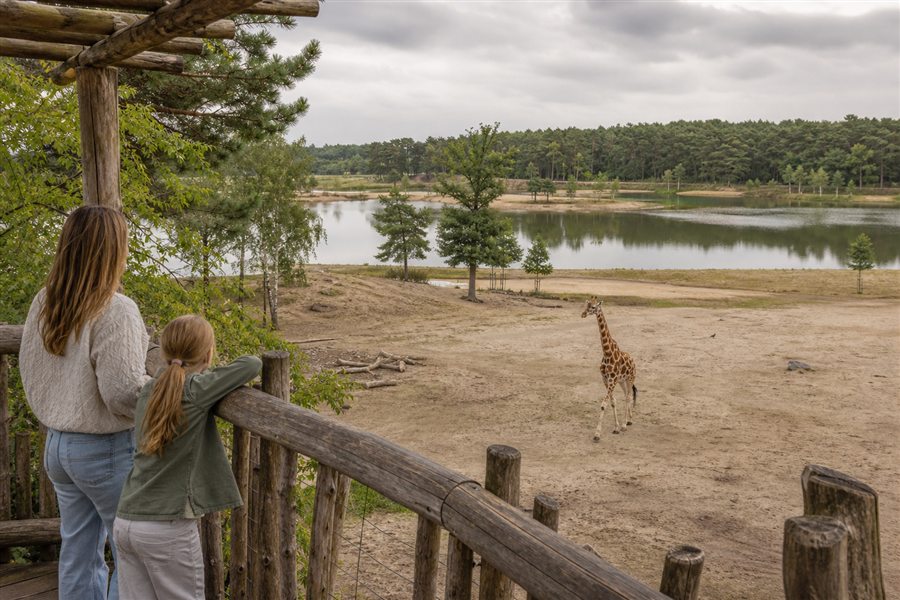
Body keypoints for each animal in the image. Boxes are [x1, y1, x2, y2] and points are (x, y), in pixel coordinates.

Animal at [581, 296, 638, 440]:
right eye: (586, 305)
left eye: (594, 307)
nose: (583, 314)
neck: (607, 353)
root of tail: (633, 361)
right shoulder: (606, 380)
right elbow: (613, 401)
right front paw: (615, 427)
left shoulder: (612, 380)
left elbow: (603, 404)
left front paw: (597, 434)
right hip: (622, 381)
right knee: (627, 395)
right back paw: (629, 420)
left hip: (630, 379)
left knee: (629, 396)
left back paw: (625, 424)